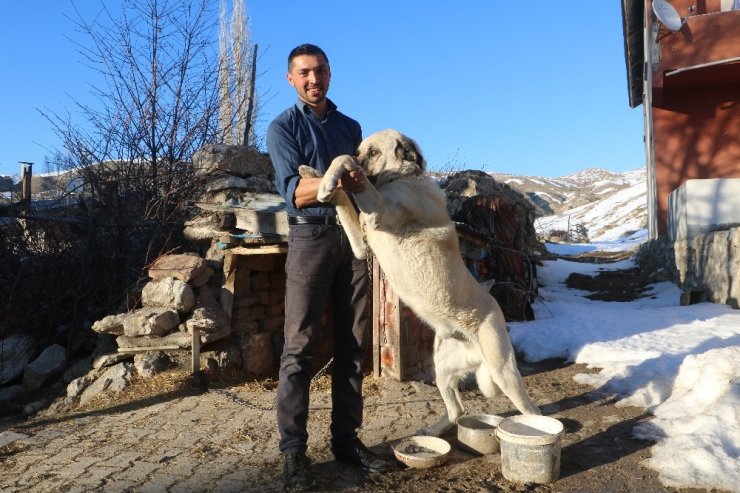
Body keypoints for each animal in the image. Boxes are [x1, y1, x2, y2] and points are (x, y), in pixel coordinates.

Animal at [308, 130, 544, 434]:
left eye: (372, 153)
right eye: (361, 149)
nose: (360, 161)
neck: (399, 178)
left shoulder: (376, 212)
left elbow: (344, 161)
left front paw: (329, 176)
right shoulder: (361, 243)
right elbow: (344, 202)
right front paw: (317, 178)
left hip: (503, 372)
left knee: (532, 410)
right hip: (441, 369)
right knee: (457, 409)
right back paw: (432, 432)